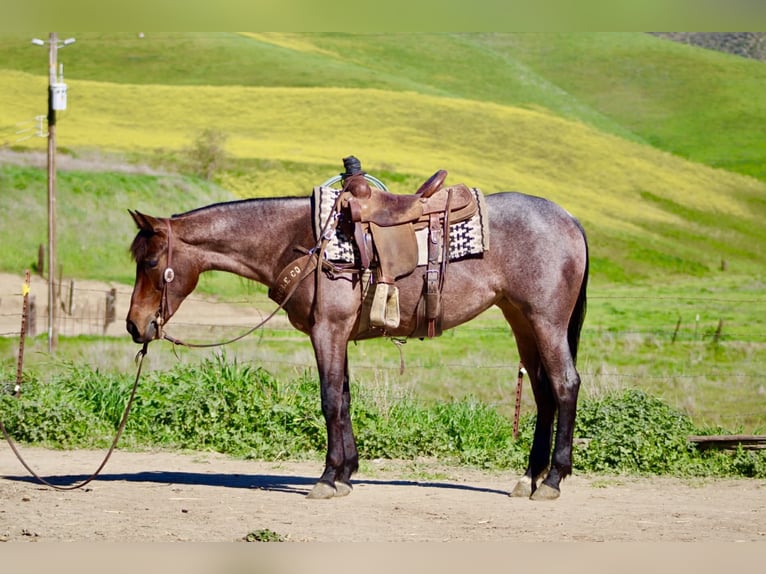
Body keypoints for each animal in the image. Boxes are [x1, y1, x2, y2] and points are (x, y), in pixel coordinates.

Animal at [126, 187, 589, 501]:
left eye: (150, 262)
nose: (134, 325)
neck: (299, 242)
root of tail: (569, 218)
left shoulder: (326, 330)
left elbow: (330, 398)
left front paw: (327, 477)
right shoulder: (339, 334)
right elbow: (345, 398)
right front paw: (347, 473)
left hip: (546, 321)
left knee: (565, 385)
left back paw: (552, 479)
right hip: (521, 320)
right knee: (543, 392)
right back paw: (529, 478)